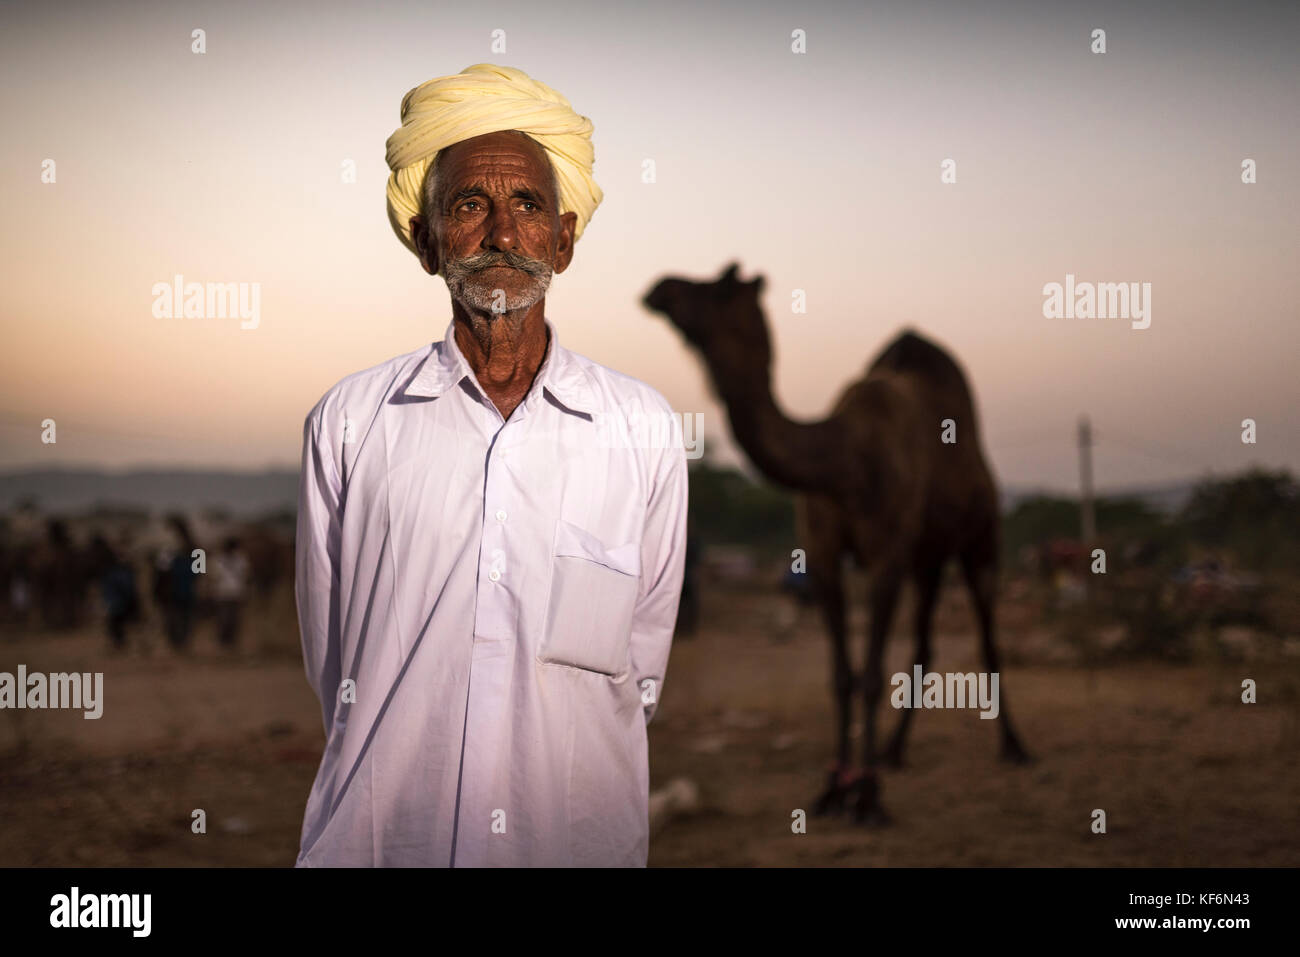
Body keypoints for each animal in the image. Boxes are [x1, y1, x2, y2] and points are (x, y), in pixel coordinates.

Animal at [644, 261, 1029, 821]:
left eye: (718, 285)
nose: (659, 289)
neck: (843, 459)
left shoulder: (888, 555)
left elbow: (870, 675)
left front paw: (867, 796)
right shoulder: (823, 556)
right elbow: (842, 675)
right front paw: (832, 789)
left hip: (983, 535)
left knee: (988, 637)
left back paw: (1015, 747)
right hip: (928, 558)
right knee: (925, 641)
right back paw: (893, 751)